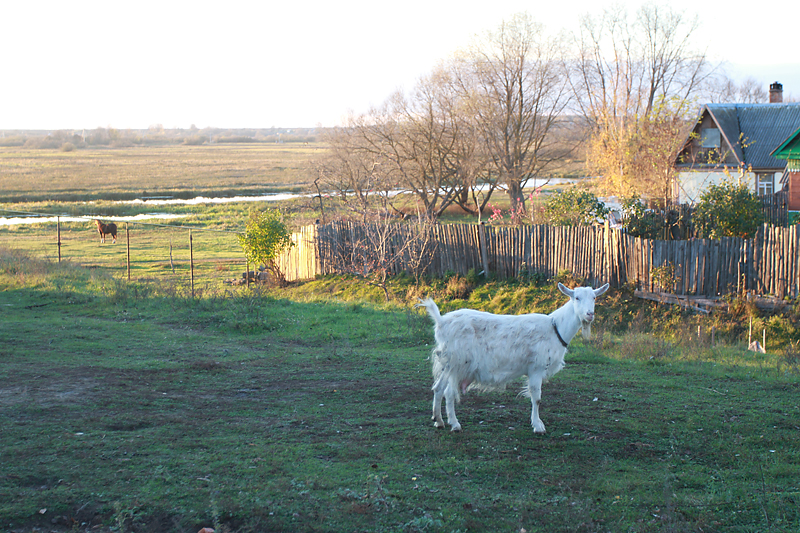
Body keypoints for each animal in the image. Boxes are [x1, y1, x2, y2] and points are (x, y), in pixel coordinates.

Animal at [418, 282, 608, 432]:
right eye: (576, 298)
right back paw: (455, 424)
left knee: (438, 388)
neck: (556, 327)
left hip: (449, 364)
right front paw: (538, 426)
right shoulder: (536, 368)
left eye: (594, 298)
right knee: (449, 392)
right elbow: (537, 398)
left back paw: (439, 421)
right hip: (458, 363)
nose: (589, 314)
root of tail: (441, 321)